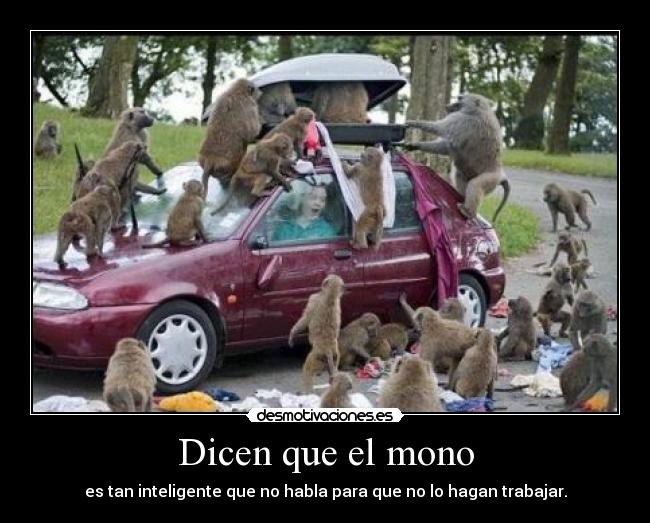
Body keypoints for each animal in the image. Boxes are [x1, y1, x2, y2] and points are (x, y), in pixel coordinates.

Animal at [403, 93, 510, 223]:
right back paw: (462, 198)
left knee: (475, 185)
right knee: (461, 175)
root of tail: (501, 175)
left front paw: (413, 123)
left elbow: (440, 128)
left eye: (460, 99)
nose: (447, 106)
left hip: (491, 179)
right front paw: (414, 145)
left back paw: (467, 212)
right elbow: (446, 147)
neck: (478, 110)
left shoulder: (462, 120)